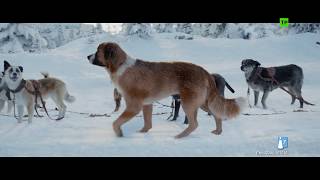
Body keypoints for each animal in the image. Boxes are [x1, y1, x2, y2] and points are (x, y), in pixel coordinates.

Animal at [86, 42, 246, 138]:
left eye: (97, 51)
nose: (87, 56)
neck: (119, 65)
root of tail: (205, 72)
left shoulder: (134, 106)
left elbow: (116, 122)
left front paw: (119, 134)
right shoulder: (147, 104)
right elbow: (148, 123)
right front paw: (142, 133)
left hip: (188, 103)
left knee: (194, 124)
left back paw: (180, 136)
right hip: (202, 103)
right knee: (217, 115)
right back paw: (218, 131)